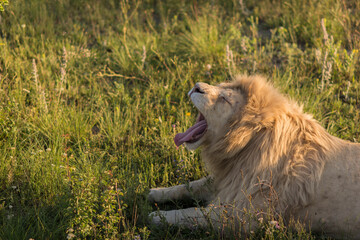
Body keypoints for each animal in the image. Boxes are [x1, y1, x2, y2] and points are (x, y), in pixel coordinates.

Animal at [148, 75, 360, 238]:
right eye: (220, 85)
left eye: (224, 98)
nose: (196, 86)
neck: (244, 148)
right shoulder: (229, 181)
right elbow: (189, 186)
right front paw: (154, 193)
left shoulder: (237, 216)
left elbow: (189, 214)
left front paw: (154, 216)